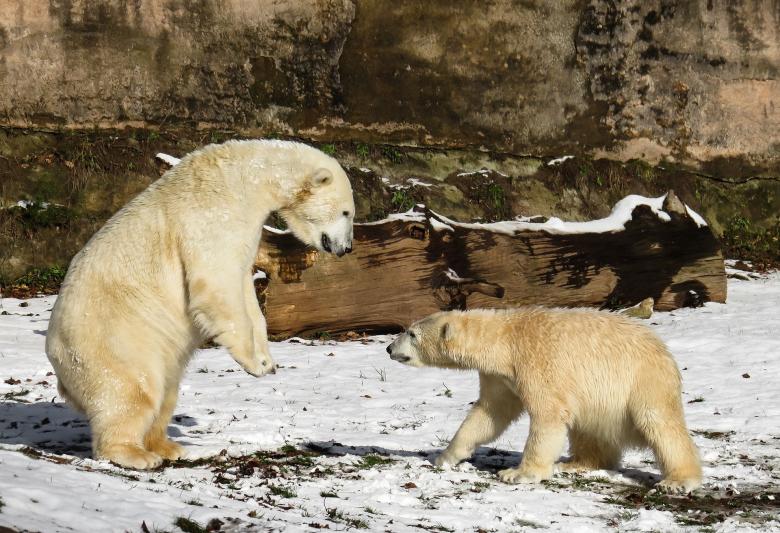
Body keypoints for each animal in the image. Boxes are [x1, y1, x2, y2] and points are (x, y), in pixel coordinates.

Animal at [46, 139, 355, 469]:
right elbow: (217, 282)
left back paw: (168, 446)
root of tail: (57, 360)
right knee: (132, 390)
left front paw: (267, 361)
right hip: (115, 339)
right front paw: (253, 363)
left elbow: (245, 290)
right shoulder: (213, 218)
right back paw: (135, 454)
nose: (347, 248)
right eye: (346, 211)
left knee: (167, 391)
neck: (245, 178)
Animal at [386, 307, 702, 492]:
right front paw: (445, 457)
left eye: (411, 333)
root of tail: (664, 351)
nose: (389, 348)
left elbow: (548, 415)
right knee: (587, 427)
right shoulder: (501, 376)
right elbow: (490, 414)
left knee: (659, 423)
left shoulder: (538, 361)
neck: (506, 341)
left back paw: (678, 481)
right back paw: (575, 463)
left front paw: (518, 474)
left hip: (642, 380)